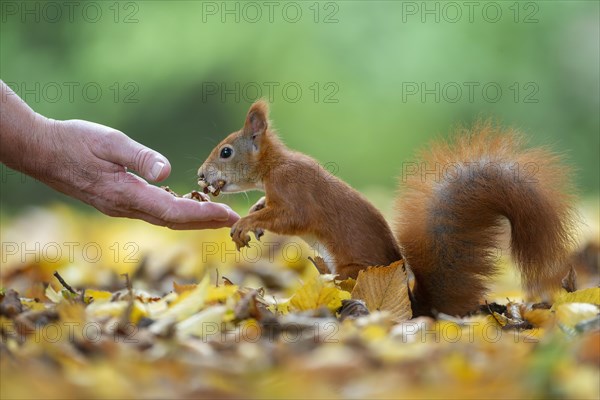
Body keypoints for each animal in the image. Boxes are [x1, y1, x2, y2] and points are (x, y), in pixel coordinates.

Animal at [197, 99, 576, 316]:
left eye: (226, 152)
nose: (201, 175)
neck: (273, 166)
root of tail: (413, 308)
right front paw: (256, 212)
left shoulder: (295, 191)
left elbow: (292, 218)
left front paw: (246, 223)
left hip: (351, 275)